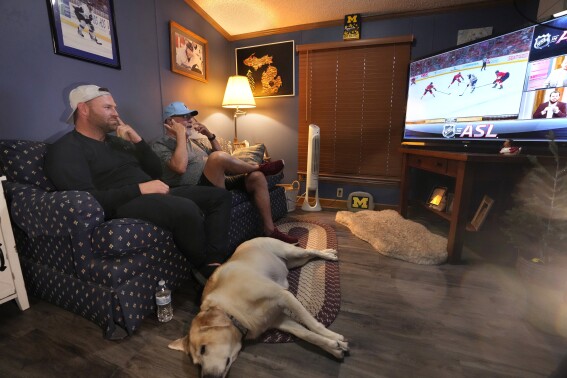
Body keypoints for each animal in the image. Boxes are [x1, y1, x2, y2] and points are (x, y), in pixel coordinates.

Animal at [166, 238, 348, 376]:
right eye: (197, 364)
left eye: (203, 349)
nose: (207, 377)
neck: (234, 312)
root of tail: (250, 239)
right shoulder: (279, 319)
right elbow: (306, 334)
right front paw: (335, 346)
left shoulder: (284, 296)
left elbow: (313, 325)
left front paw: (332, 335)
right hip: (295, 262)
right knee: (309, 255)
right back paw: (328, 253)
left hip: (292, 252)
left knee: (310, 250)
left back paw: (329, 254)